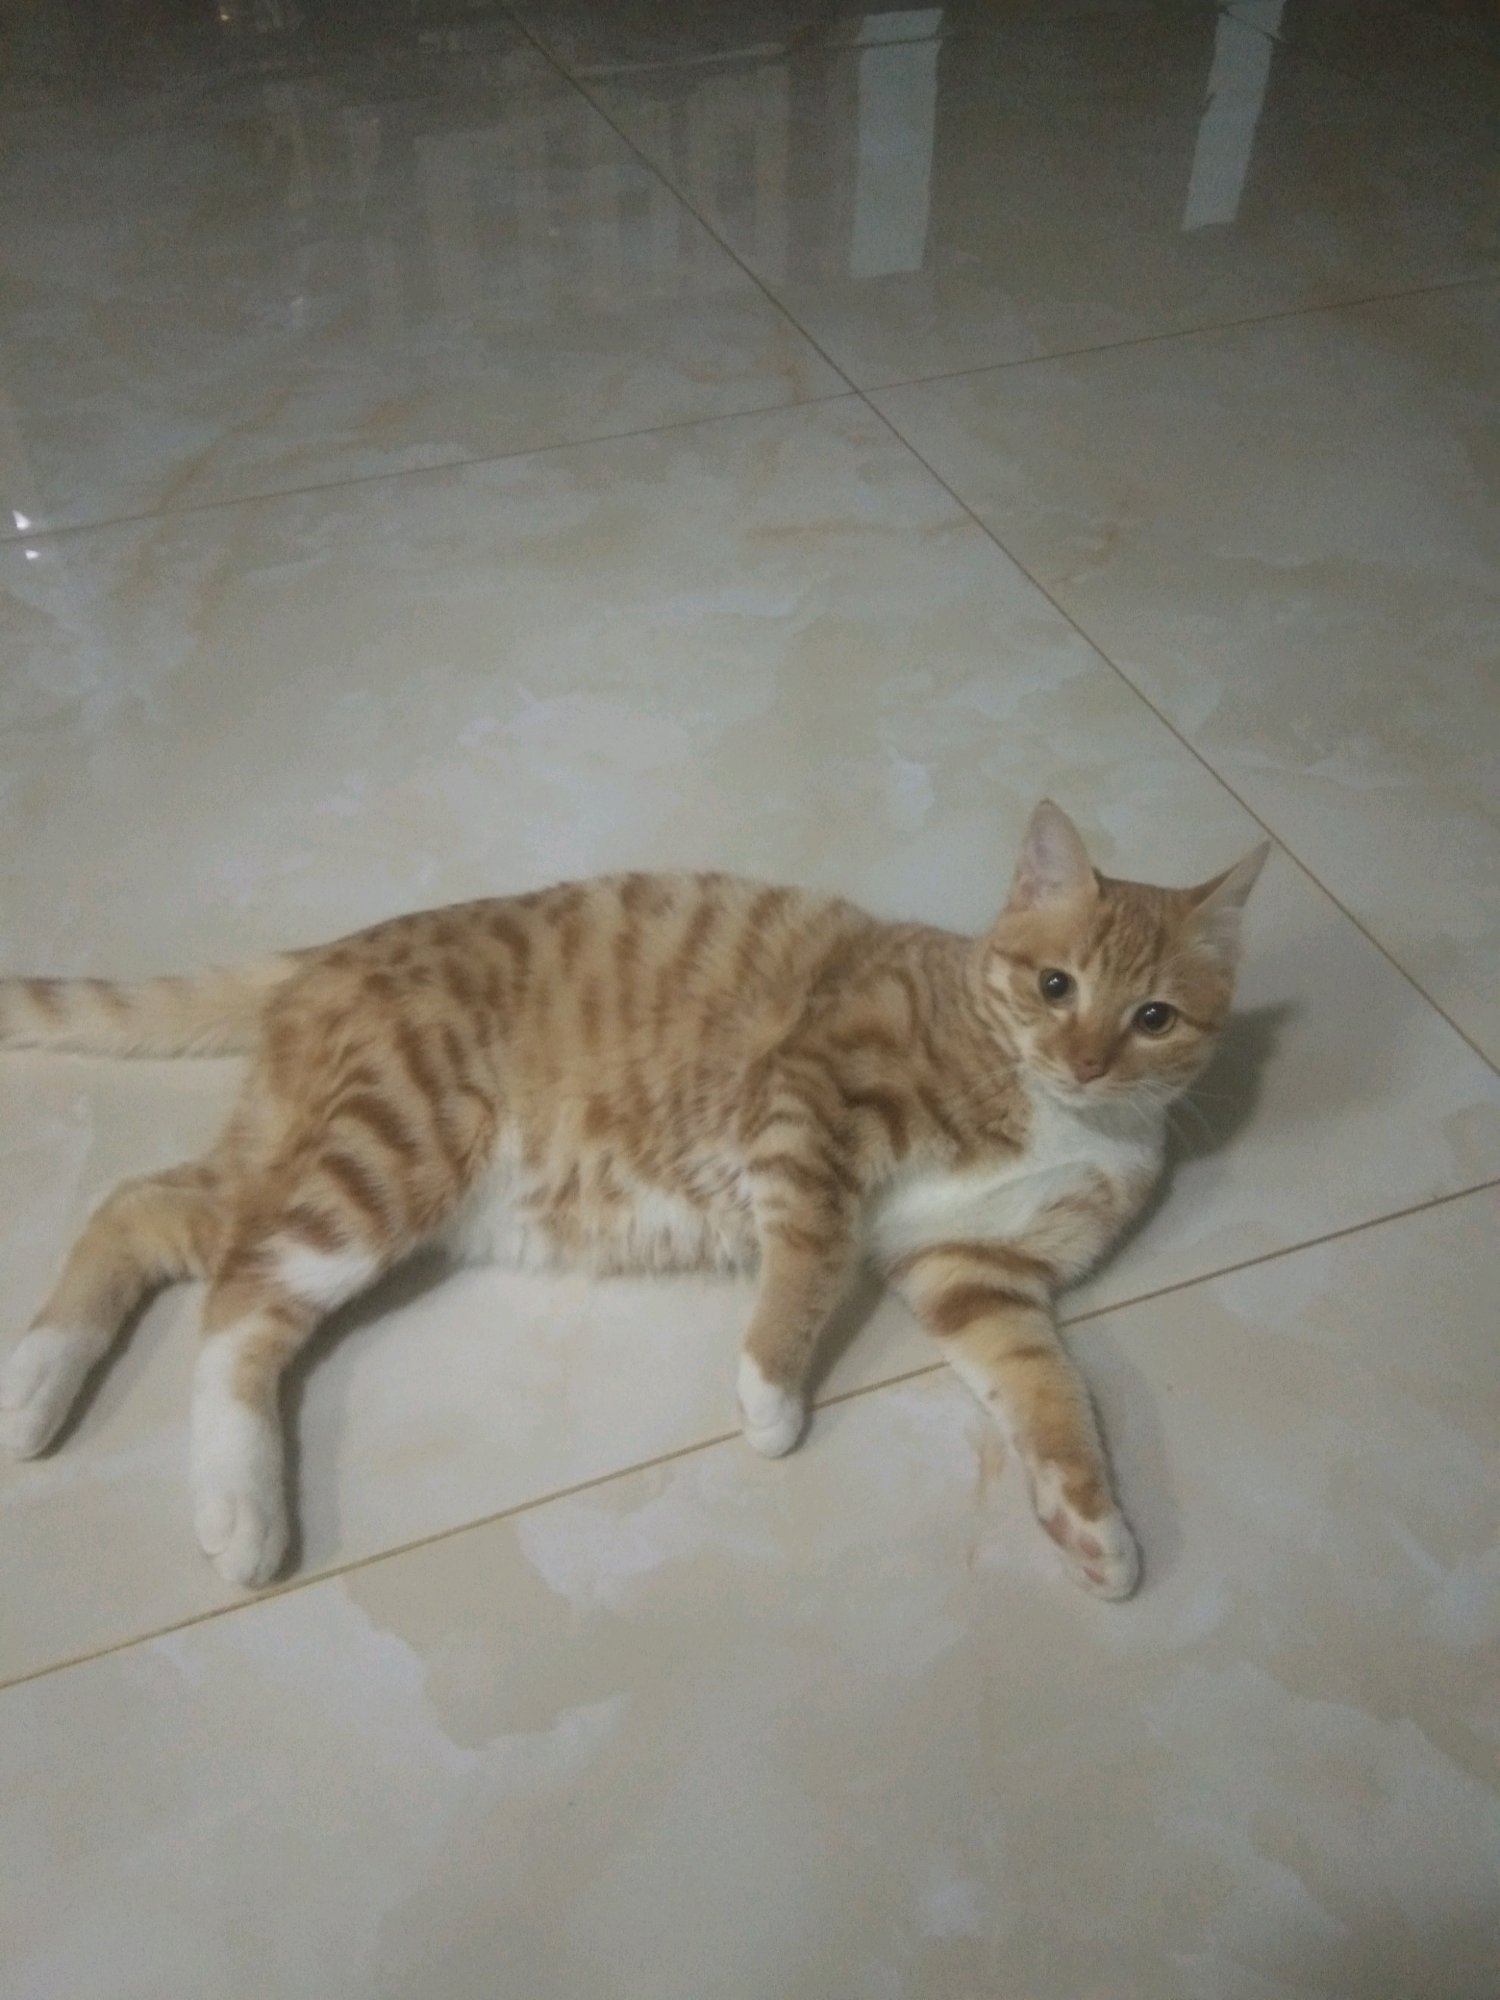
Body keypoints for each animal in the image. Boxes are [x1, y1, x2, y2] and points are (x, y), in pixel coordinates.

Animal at [0, 801, 1266, 1599]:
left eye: (1152, 1015)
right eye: (1054, 984)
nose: (1088, 1058)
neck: (1056, 1109)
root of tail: (333, 948)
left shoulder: (980, 1279)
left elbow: (1050, 1397)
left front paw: (1096, 1528)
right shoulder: (811, 1098)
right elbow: (811, 1256)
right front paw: (770, 1391)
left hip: (324, 1158)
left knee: (144, 1208)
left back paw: (35, 1385)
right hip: (388, 1157)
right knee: (240, 1297)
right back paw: (240, 1505)